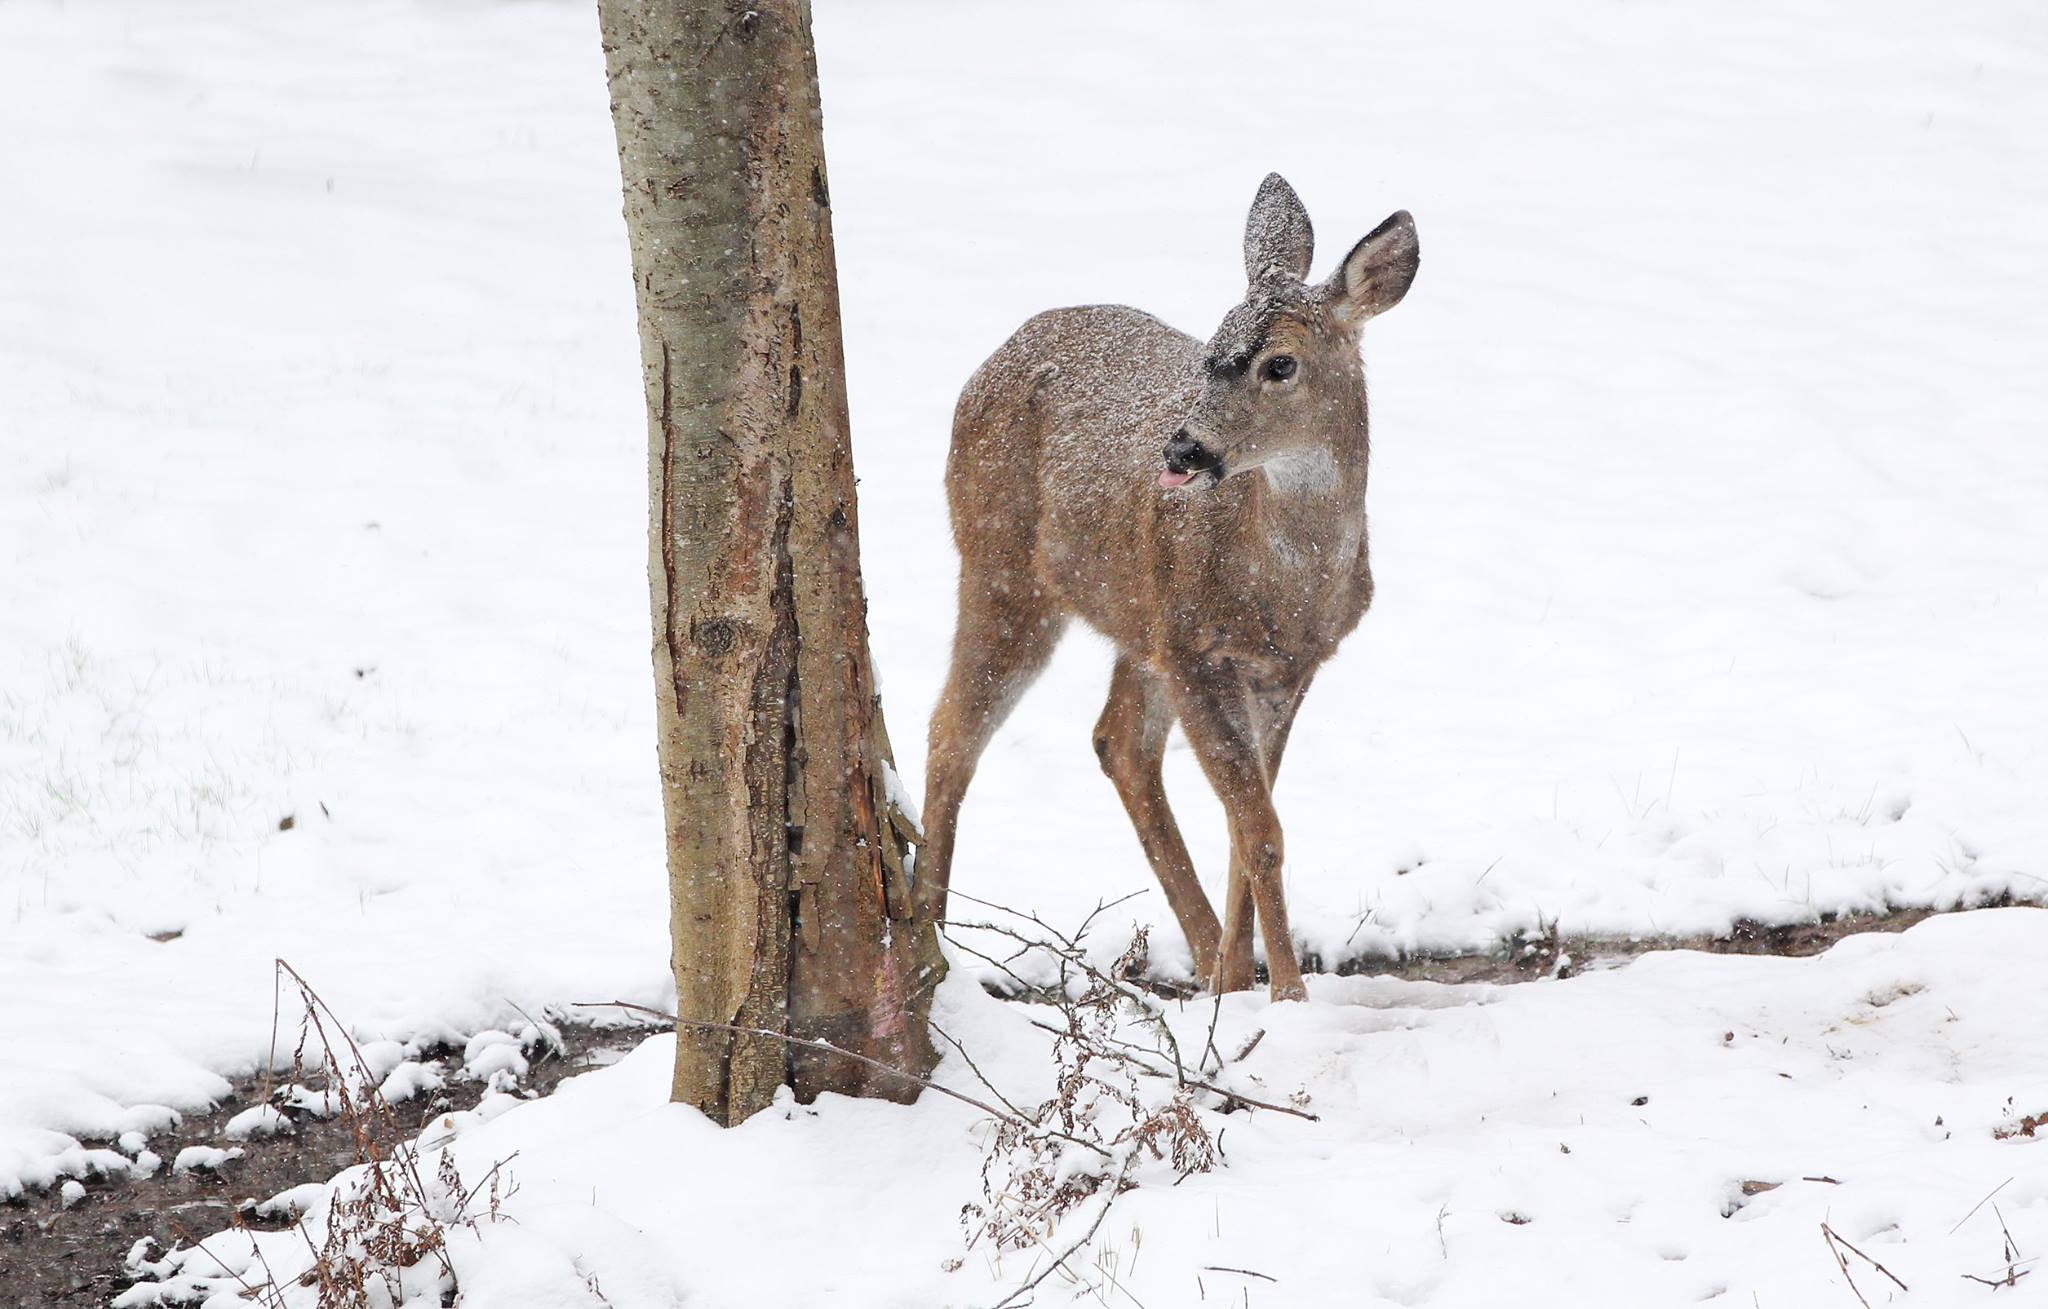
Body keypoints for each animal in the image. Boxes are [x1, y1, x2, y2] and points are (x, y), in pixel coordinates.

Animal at [919, 174, 1419, 1002]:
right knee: (954, 730)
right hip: (1002, 564)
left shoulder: (1288, 667)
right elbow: (1262, 830)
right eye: (1211, 354)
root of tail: (997, 352)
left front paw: (1244, 985)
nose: (1182, 448)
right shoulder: (1197, 652)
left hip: (1138, 612)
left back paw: (1211, 957)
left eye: (1280, 364)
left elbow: (1248, 827)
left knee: (1117, 740)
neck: (1290, 588)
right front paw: (1287, 994)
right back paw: (924, 937)